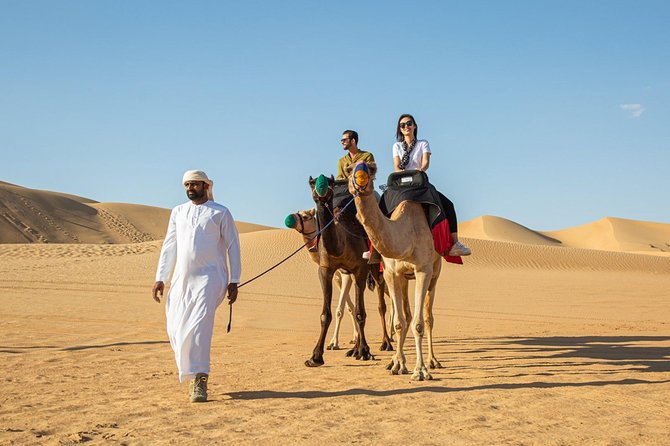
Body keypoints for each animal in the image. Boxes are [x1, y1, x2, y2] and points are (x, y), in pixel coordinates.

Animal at [286, 208, 393, 351]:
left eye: (305, 216)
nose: (290, 219)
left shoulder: (347, 274)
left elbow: (341, 309)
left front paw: (334, 343)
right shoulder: (338, 277)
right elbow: (350, 307)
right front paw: (354, 339)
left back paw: (389, 339)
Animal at [303, 174, 373, 366]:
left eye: (330, 183)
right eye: (312, 183)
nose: (320, 190)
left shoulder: (360, 269)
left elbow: (360, 313)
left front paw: (365, 351)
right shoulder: (325, 270)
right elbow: (325, 315)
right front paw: (315, 356)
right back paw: (354, 349)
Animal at [346, 161, 443, 381]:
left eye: (370, 169)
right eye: (350, 170)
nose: (361, 178)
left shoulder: (423, 270)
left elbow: (418, 324)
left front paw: (420, 371)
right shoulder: (391, 273)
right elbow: (399, 322)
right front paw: (398, 365)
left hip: (435, 272)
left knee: (428, 317)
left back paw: (433, 361)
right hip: (404, 278)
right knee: (405, 315)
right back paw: (393, 361)